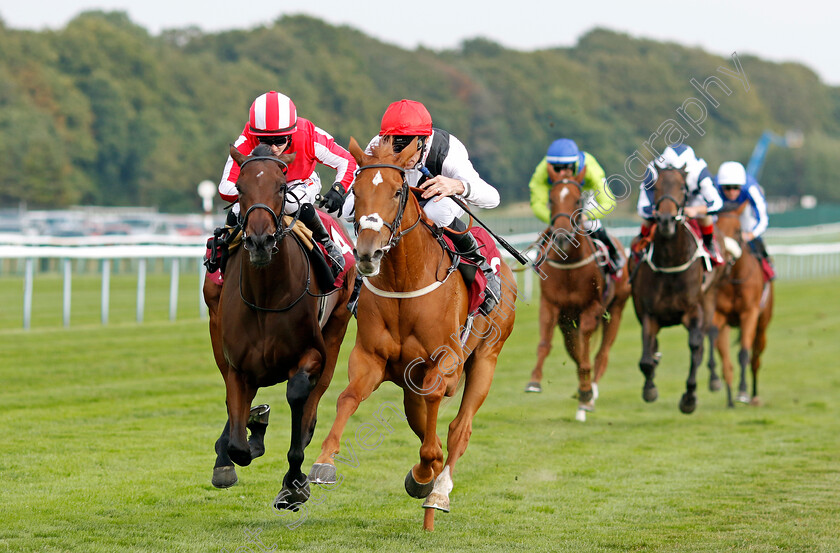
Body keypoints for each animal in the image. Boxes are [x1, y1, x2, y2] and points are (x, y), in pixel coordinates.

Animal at [203, 144, 354, 512]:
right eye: (240, 188)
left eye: (281, 186)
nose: (259, 240)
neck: (266, 296)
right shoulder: (237, 363)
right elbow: (238, 440)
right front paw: (246, 437)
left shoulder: (311, 353)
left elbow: (297, 394)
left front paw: (294, 484)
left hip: (337, 329)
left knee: (314, 399)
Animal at [310, 136, 520, 528]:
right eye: (356, 192)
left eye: (396, 192)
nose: (368, 252)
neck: (404, 280)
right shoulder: (371, 358)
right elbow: (348, 397)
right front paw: (324, 462)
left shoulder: (444, 360)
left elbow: (436, 416)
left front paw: (427, 474)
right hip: (410, 384)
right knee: (423, 421)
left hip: (487, 356)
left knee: (459, 429)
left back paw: (438, 491)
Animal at [524, 179, 632, 420]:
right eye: (551, 199)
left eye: (577, 200)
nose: (562, 236)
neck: (569, 267)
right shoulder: (550, 305)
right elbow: (546, 344)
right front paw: (534, 381)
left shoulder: (592, 307)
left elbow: (586, 353)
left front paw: (587, 393)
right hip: (567, 323)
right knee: (576, 350)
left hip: (616, 309)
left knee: (602, 354)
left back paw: (590, 394)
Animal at [632, 166, 720, 412]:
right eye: (655, 187)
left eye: (682, 187)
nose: (665, 220)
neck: (670, 262)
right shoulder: (648, 314)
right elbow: (646, 358)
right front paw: (649, 389)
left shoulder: (694, 311)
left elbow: (695, 347)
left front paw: (689, 396)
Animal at [708, 207, 776, 406]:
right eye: (716, 227)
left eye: (738, 230)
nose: (725, 254)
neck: (733, 277)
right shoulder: (718, 314)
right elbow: (715, 341)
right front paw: (714, 381)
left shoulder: (749, 313)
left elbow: (744, 353)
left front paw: (743, 392)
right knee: (726, 360)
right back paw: (730, 399)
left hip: (762, 325)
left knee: (755, 359)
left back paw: (753, 395)